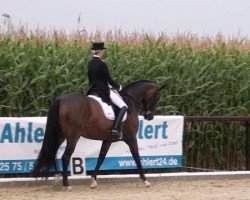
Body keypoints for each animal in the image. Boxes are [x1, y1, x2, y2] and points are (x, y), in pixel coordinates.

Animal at [31, 79, 163, 188]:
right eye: (156, 97)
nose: (149, 116)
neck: (130, 100)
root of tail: (61, 100)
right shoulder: (131, 138)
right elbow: (136, 156)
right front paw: (145, 180)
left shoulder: (108, 139)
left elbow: (101, 158)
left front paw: (93, 180)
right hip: (73, 137)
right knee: (65, 156)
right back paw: (66, 184)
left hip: (60, 135)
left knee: (52, 151)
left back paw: (57, 176)